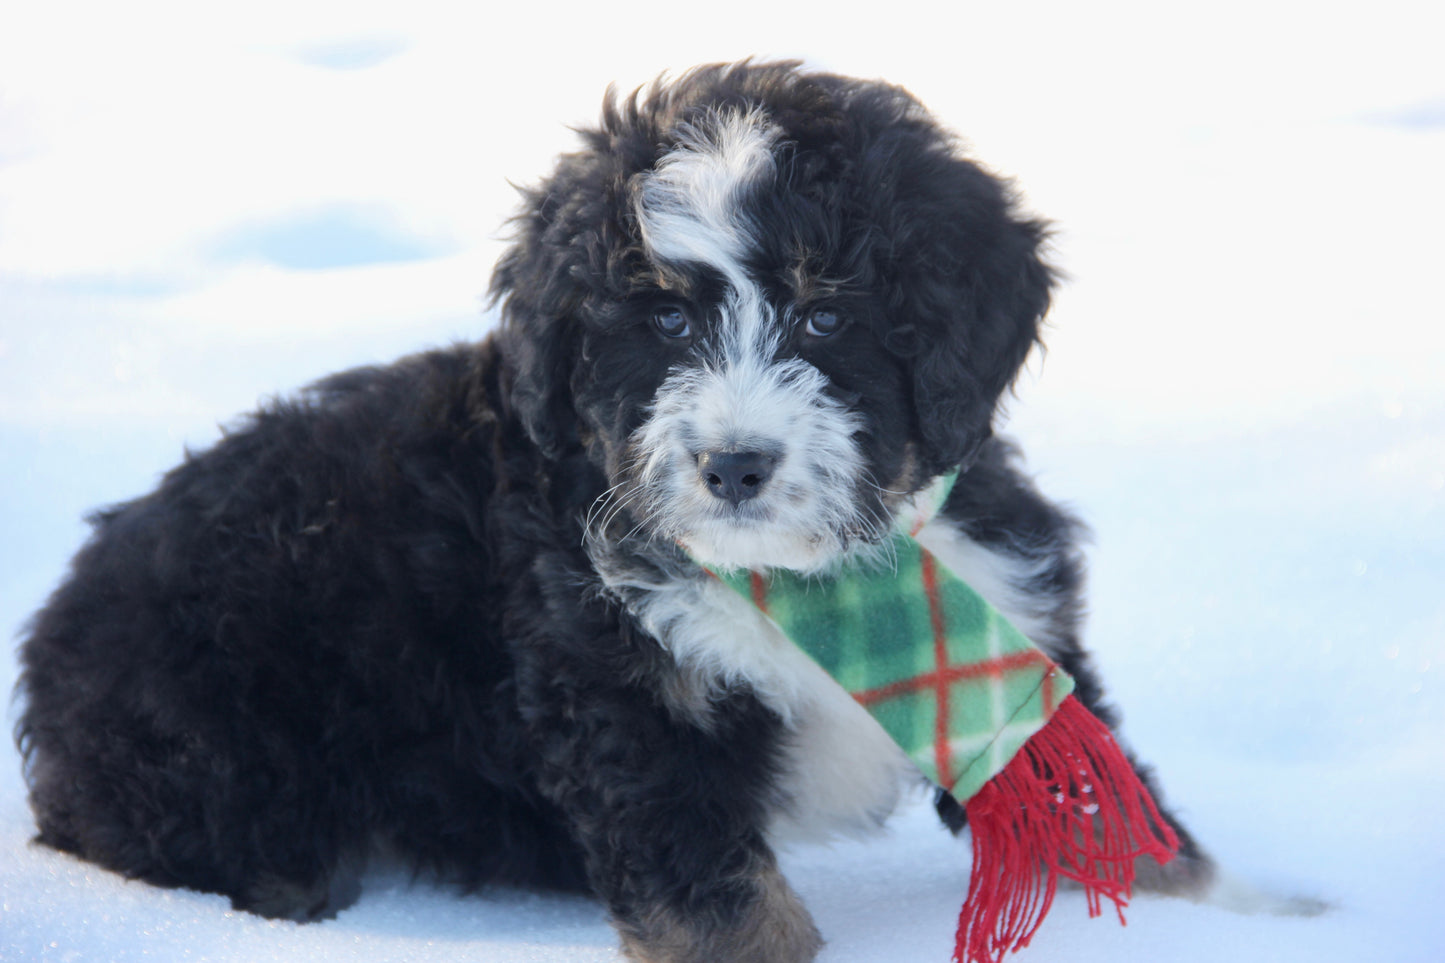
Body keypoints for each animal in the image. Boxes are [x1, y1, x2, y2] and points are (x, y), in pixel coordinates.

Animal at [14, 61, 1208, 960]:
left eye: (826, 318)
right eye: (667, 324)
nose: (733, 465)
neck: (810, 575)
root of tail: (61, 614)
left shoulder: (1020, 608)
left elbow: (1100, 809)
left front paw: (1199, 913)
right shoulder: (623, 702)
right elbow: (715, 899)